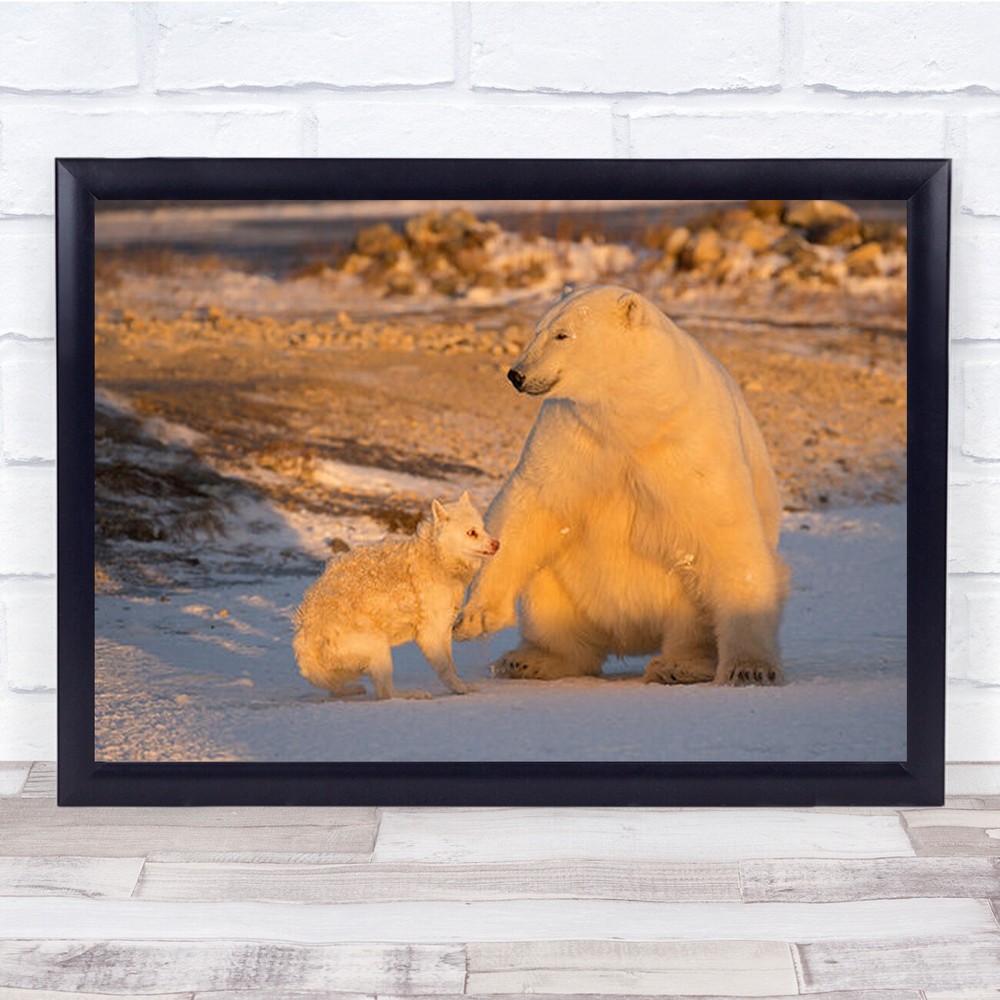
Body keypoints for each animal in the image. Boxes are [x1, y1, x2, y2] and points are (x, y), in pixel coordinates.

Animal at [454, 284, 787, 686]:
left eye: (562, 334)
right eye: (537, 330)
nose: (516, 374)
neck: (634, 414)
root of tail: (630, 634)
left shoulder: (691, 444)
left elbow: (726, 533)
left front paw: (751, 669)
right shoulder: (573, 434)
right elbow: (529, 504)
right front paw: (473, 618)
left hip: (679, 597)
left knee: (693, 613)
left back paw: (679, 665)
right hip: (569, 587)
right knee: (550, 599)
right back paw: (531, 660)